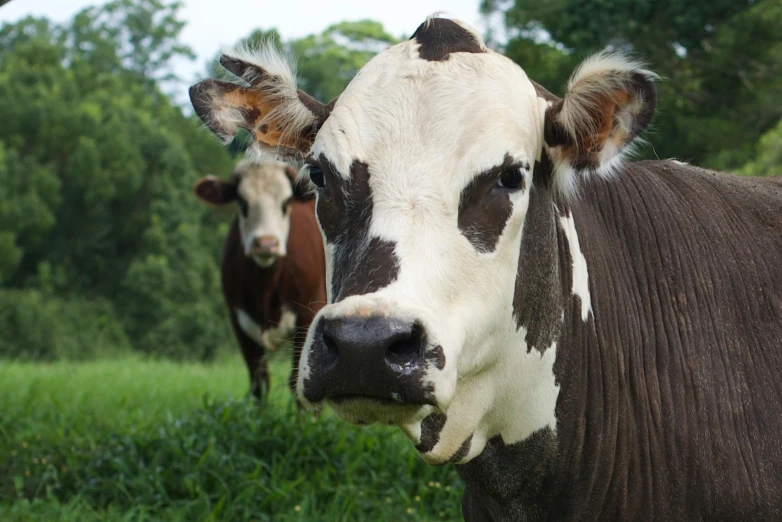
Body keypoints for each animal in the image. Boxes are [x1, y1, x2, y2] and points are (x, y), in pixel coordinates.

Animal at [194, 157, 326, 398]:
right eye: (242, 203)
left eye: (286, 202)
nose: (266, 243)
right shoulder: (239, 321)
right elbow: (259, 383)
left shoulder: (309, 312)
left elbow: (298, 382)